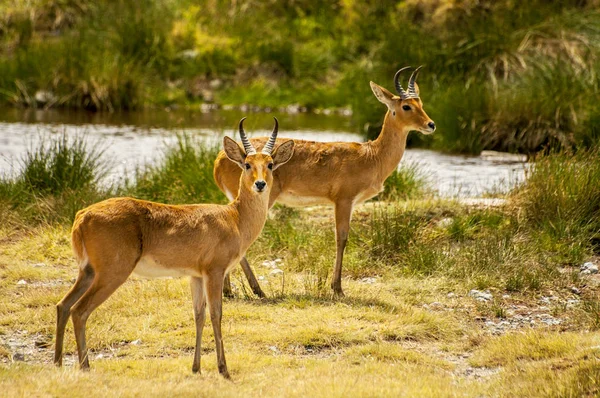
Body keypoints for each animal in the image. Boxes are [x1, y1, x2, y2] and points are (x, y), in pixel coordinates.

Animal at [55, 116, 294, 378]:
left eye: (270, 164)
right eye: (247, 164)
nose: (260, 184)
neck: (234, 217)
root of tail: (82, 215)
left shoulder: (195, 276)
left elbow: (198, 315)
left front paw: (196, 368)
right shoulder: (214, 272)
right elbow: (216, 314)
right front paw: (223, 369)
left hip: (87, 271)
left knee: (63, 306)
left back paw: (57, 362)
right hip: (111, 274)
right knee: (79, 311)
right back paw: (85, 366)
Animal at [214, 66, 436, 296]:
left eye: (421, 103)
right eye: (406, 106)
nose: (431, 124)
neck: (371, 156)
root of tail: (220, 158)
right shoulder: (344, 200)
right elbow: (342, 238)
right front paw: (337, 287)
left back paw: (229, 290)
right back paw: (256, 289)